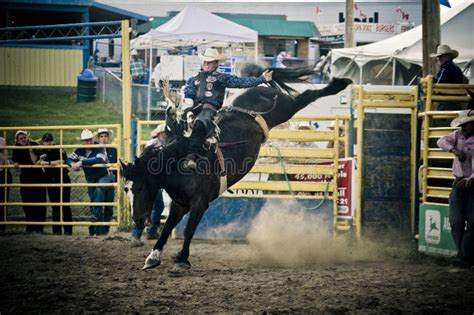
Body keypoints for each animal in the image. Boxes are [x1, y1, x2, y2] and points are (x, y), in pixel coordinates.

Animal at [122, 65, 352, 272]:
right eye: (126, 189)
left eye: (140, 187)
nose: (138, 220)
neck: (180, 163)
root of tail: (260, 88)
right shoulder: (180, 204)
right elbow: (167, 229)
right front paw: (153, 257)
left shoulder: (199, 203)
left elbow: (188, 230)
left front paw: (181, 260)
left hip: (285, 108)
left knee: (306, 96)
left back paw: (340, 84)